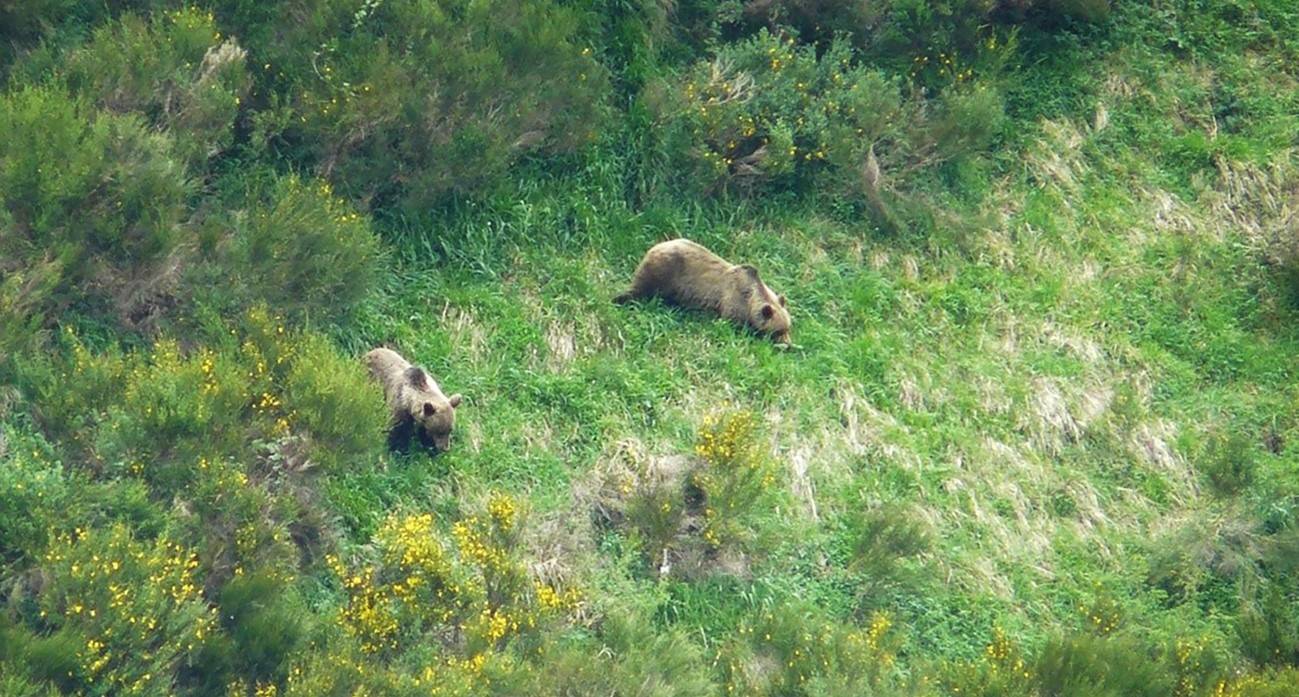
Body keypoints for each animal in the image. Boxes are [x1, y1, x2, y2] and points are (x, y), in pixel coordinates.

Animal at [615, 237, 789, 342]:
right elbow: (731, 322)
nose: (788, 345)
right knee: (640, 288)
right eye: (778, 331)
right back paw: (620, 298)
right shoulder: (732, 301)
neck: (751, 298)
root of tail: (656, 246)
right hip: (663, 271)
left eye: (788, 328)